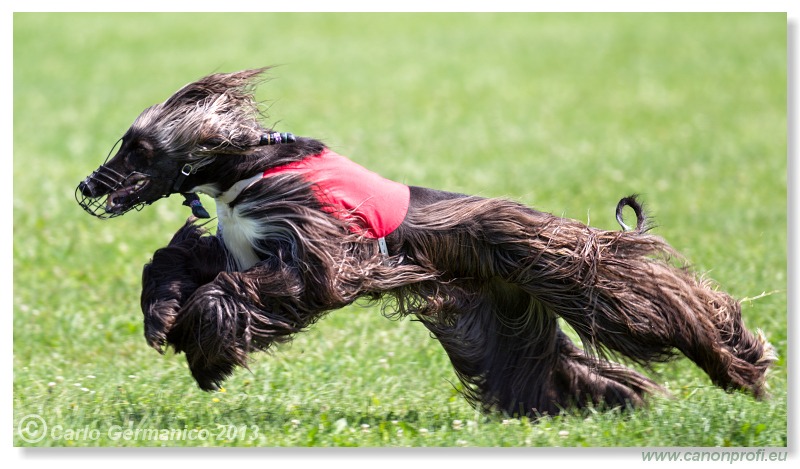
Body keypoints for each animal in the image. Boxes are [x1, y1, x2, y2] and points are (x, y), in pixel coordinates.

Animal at [76, 67, 776, 414]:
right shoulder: (238, 242)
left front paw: (205, 351)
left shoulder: (318, 252)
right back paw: (606, 399)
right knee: (547, 364)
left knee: (658, 302)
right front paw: (165, 320)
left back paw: (742, 360)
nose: (87, 185)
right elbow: (177, 262)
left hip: (572, 272)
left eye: (139, 149)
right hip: (495, 313)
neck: (244, 167)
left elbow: (242, 291)